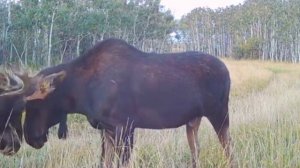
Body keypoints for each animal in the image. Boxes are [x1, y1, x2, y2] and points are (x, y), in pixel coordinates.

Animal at [2, 38, 233, 167]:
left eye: (33, 105)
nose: (31, 138)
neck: (81, 94)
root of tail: (227, 71)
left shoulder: (125, 126)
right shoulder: (107, 129)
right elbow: (104, 162)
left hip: (219, 112)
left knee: (228, 147)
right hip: (193, 120)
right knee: (196, 151)